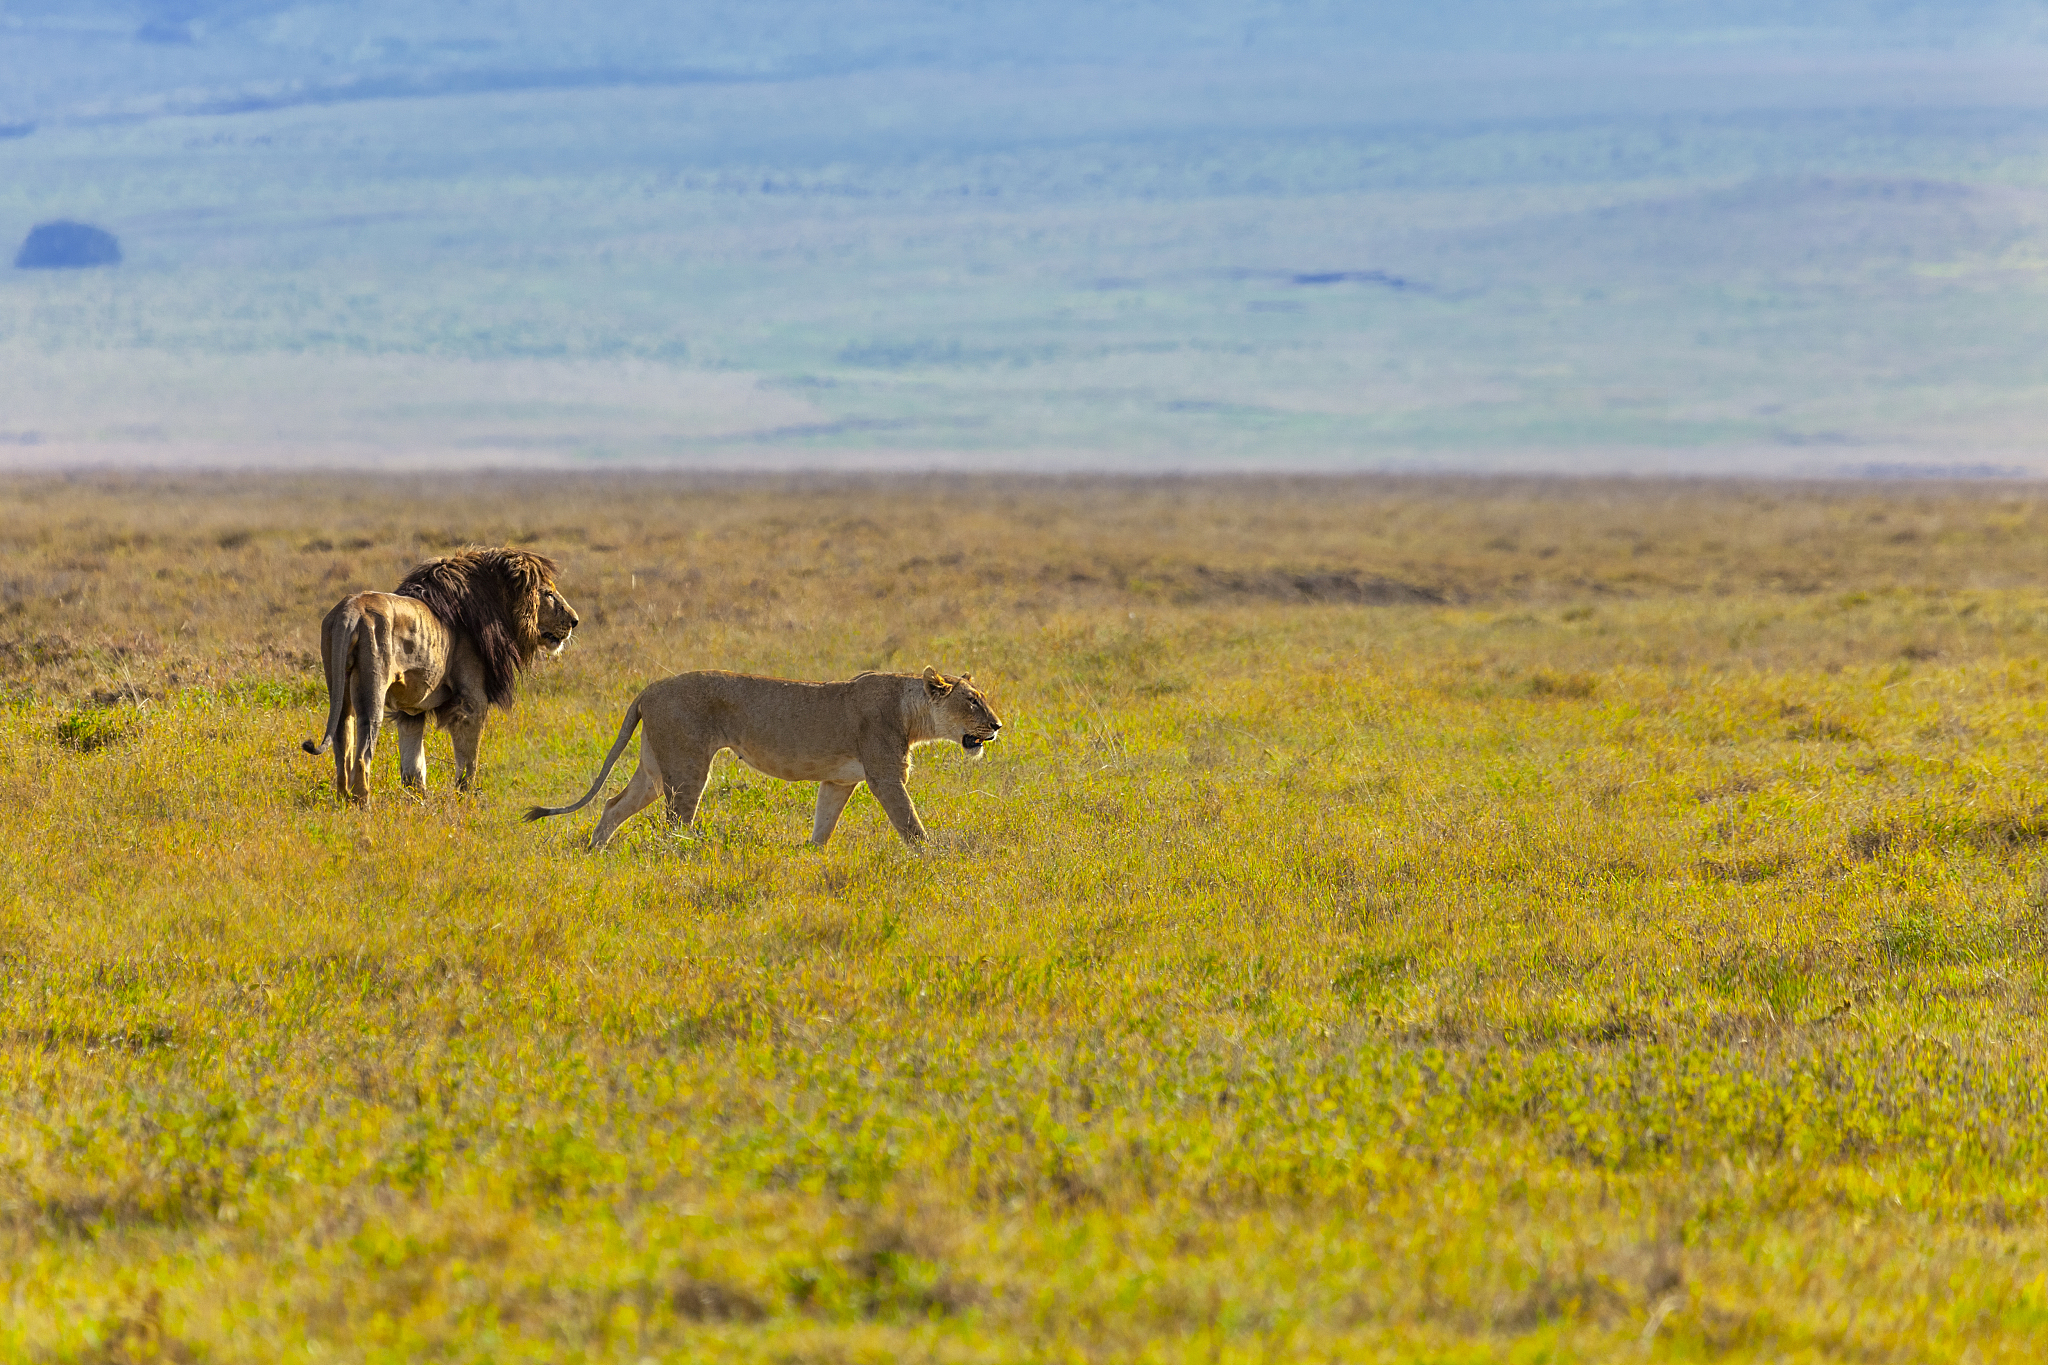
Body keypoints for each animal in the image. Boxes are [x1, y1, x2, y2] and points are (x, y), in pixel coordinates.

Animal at [301, 548, 578, 800]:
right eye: (549, 593)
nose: (575, 621)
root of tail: (349, 610)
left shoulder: (411, 711)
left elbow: (413, 766)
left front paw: (419, 801)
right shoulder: (471, 702)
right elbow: (468, 762)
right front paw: (465, 800)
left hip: (339, 686)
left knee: (342, 744)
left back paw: (343, 800)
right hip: (372, 689)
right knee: (362, 754)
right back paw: (363, 805)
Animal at [524, 666, 1001, 848]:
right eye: (972, 701)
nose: (998, 726)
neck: (910, 710)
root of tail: (648, 689)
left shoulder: (839, 780)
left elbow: (824, 825)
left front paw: (810, 855)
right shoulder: (885, 776)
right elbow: (911, 826)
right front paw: (933, 858)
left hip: (655, 769)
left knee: (613, 804)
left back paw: (595, 853)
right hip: (688, 766)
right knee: (675, 822)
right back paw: (683, 857)